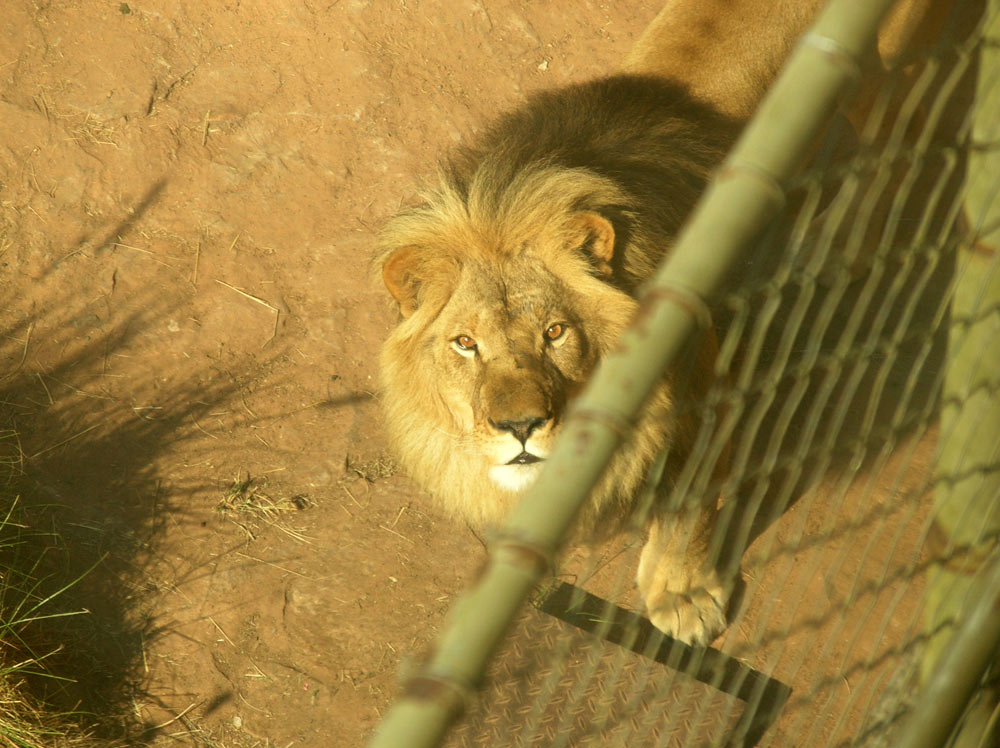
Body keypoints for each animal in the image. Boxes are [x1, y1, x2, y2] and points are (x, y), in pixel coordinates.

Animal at [374, 0, 960, 644]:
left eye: (555, 332)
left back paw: (833, 252)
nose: (520, 426)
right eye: (465, 343)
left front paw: (683, 598)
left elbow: (688, 514)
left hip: (887, 79)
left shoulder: (699, 411)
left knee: (899, 151)